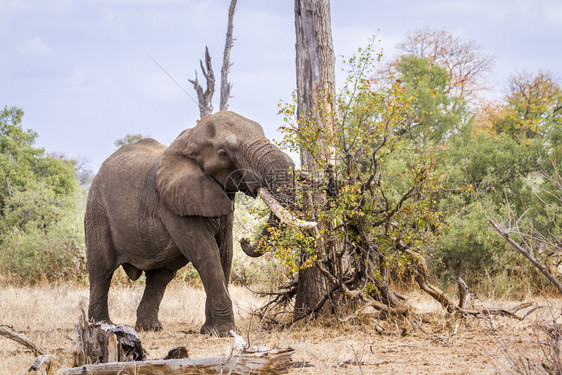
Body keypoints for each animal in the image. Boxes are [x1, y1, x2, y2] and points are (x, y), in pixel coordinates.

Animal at [84, 110, 310, 336]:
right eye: (223, 153)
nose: (245, 240)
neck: (188, 139)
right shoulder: (172, 204)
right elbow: (206, 252)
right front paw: (224, 332)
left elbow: (225, 253)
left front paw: (210, 331)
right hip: (97, 212)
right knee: (101, 270)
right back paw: (104, 325)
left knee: (161, 276)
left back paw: (150, 327)